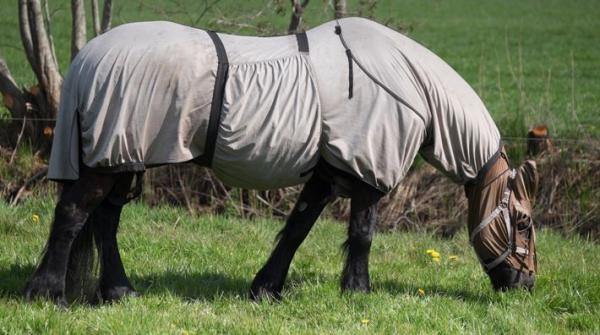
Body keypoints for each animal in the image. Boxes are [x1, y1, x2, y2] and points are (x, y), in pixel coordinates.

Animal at [24, 18, 540, 308]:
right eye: (524, 223)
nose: (526, 286)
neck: (409, 84)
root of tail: (88, 58)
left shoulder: (328, 175)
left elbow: (296, 230)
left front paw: (265, 289)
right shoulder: (367, 174)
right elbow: (362, 235)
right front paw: (358, 292)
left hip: (122, 158)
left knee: (105, 221)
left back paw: (119, 292)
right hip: (109, 159)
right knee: (73, 215)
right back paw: (49, 293)